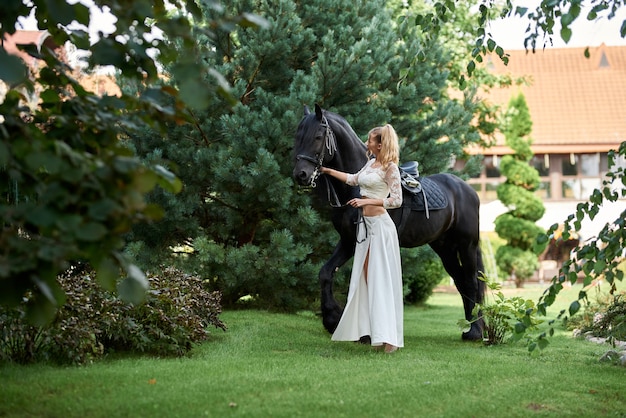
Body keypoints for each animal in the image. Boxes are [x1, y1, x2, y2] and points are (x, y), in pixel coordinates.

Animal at [290, 103, 486, 340]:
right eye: (298, 136)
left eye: (318, 136)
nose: (301, 174)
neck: (356, 187)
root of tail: (468, 190)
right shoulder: (347, 240)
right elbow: (326, 273)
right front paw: (333, 320)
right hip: (445, 248)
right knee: (461, 282)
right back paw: (470, 327)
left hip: (467, 246)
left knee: (471, 282)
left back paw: (475, 331)